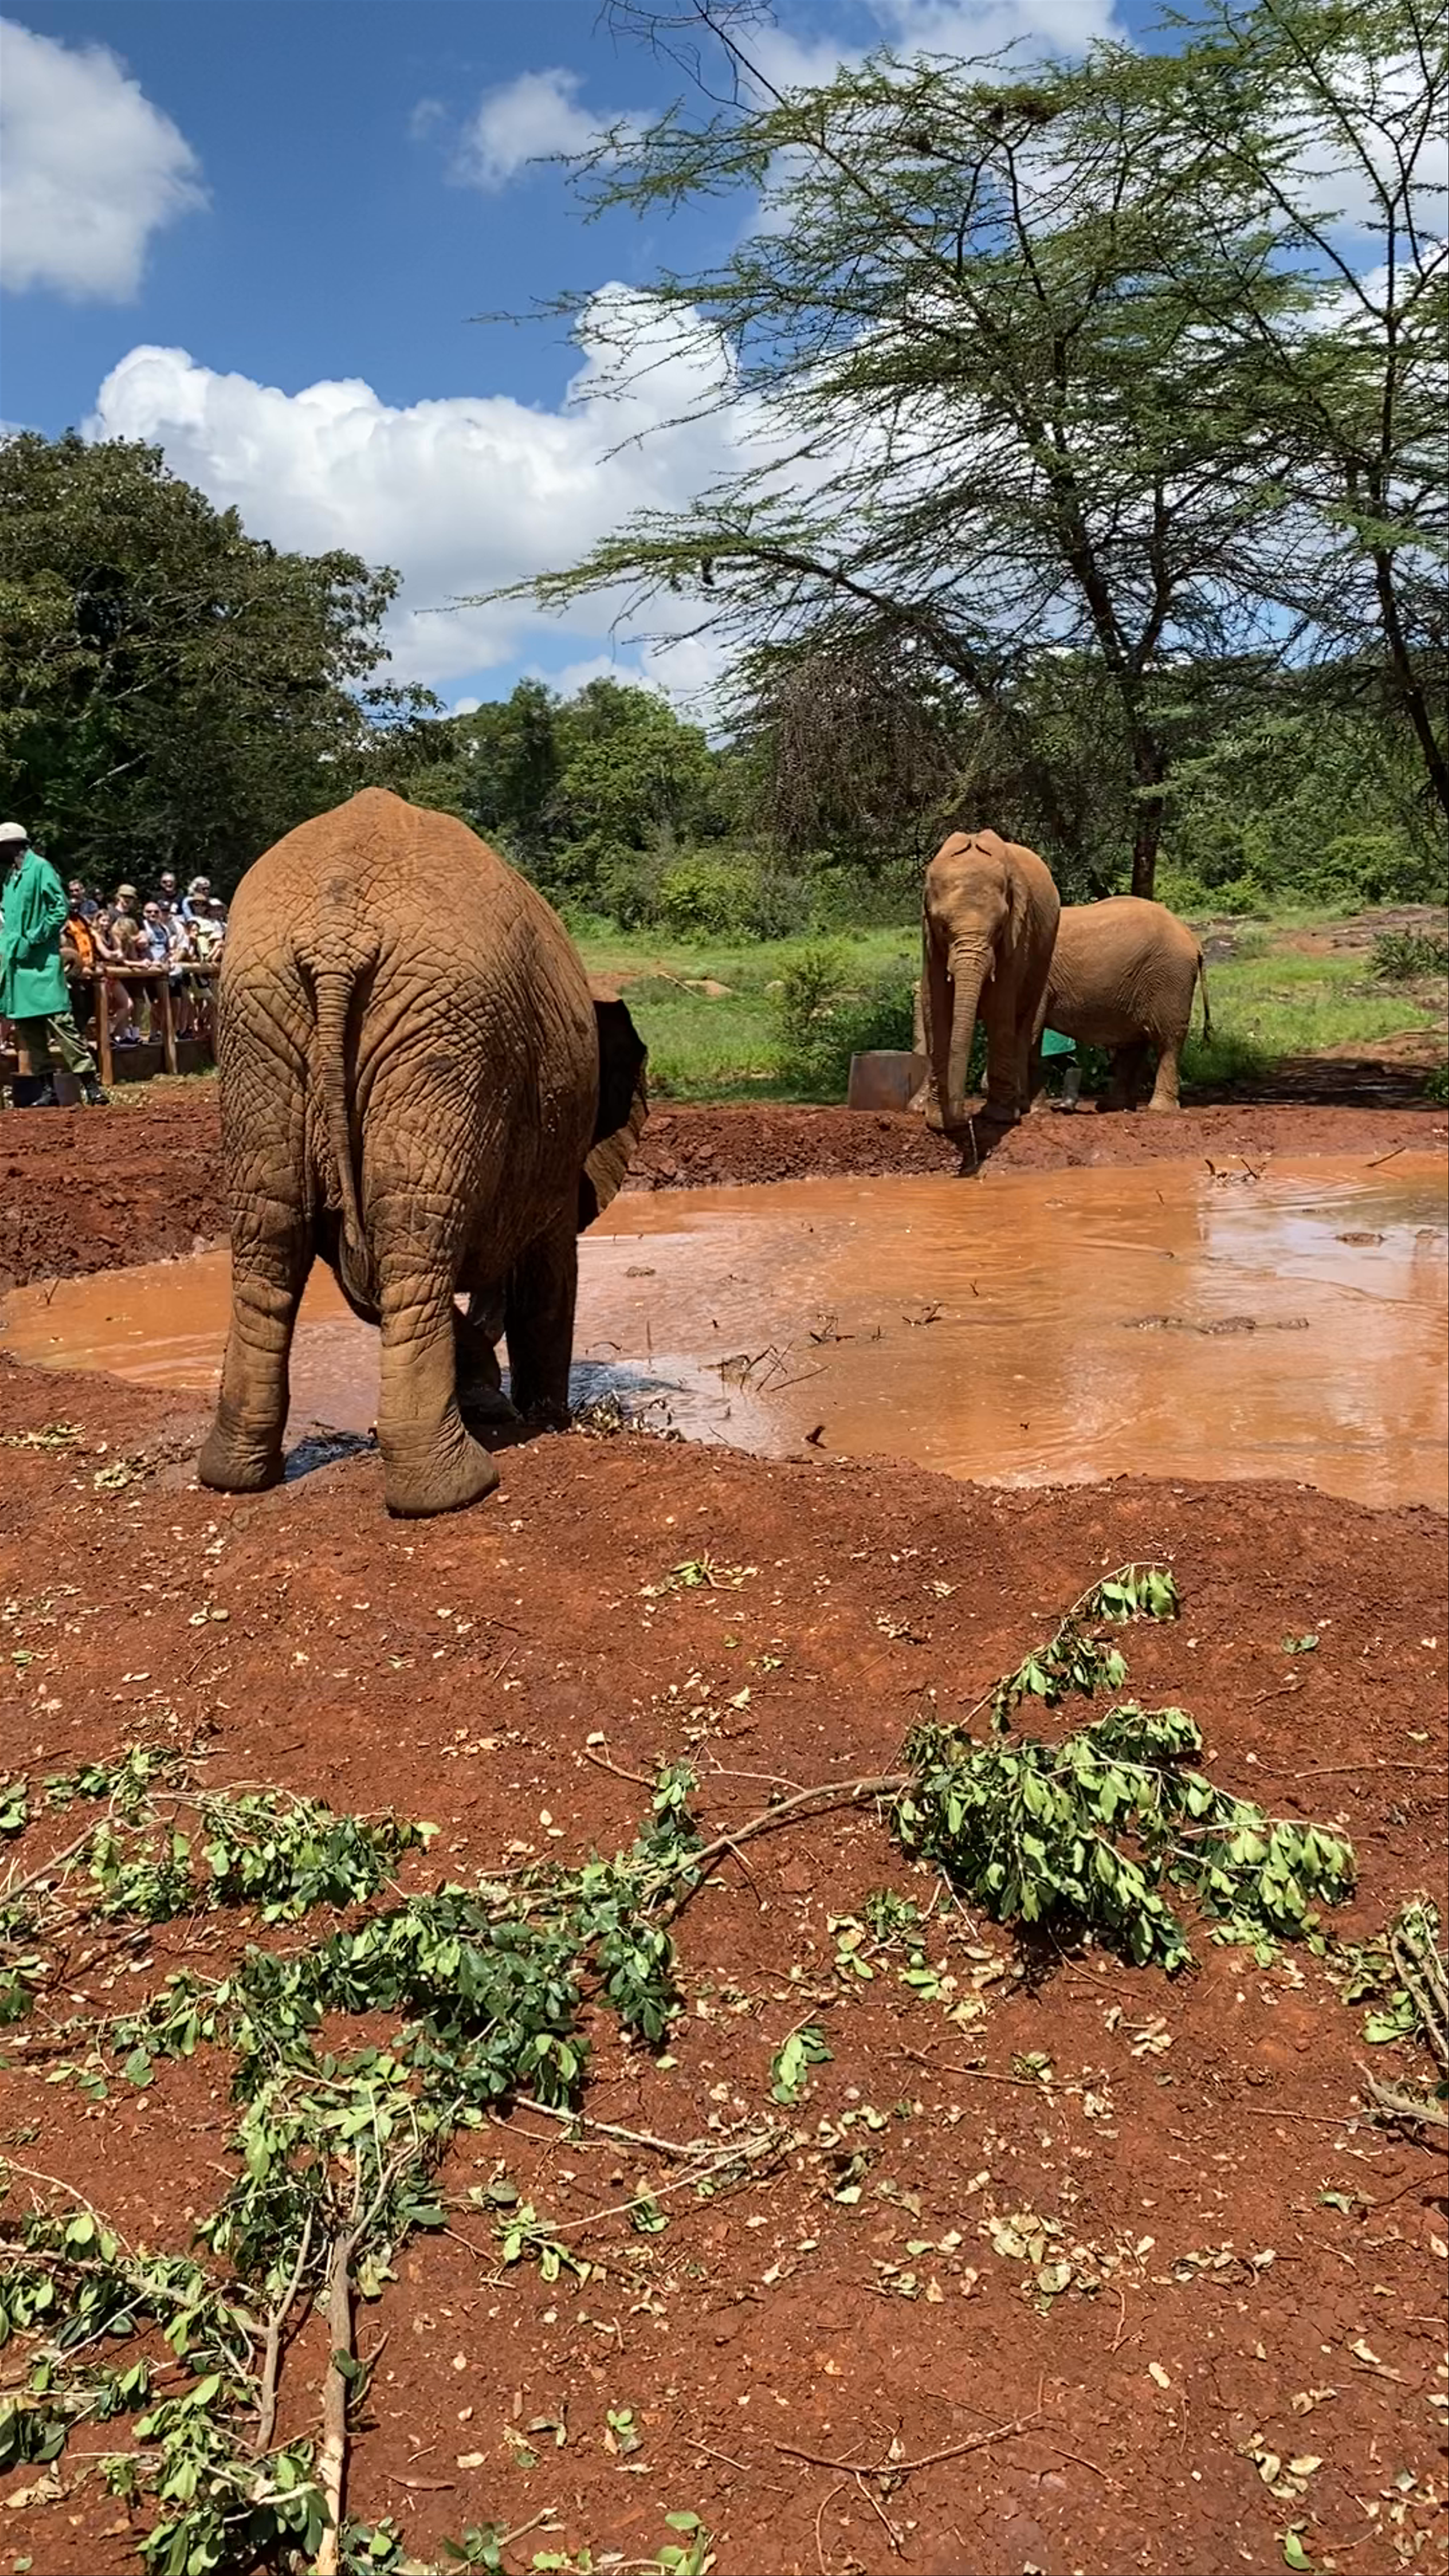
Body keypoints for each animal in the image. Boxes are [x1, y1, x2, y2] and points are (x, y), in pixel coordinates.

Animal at [196, 787, 648, 1518]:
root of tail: (336, 928)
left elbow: (363, 1270)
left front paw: (491, 1397)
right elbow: (546, 1282)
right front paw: (539, 1416)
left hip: (261, 1021)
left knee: (276, 1233)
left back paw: (235, 1475)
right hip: (438, 1028)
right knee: (412, 1237)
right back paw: (454, 1491)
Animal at [919, 829, 1061, 1131]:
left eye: (998, 928)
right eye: (943, 927)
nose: (964, 1120)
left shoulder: (1018, 934)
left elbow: (999, 1007)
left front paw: (999, 1117)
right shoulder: (929, 940)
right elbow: (936, 1008)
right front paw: (938, 1121)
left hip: (1046, 948)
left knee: (1025, 1020)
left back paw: (1022, 1107)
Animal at [1031, 895, 1210, 1112]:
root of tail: (1192, 937)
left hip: (1170, 978)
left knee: (1167, 1040)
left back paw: (1158, 1108)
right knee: (1133, 1042)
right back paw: (1111, 1106)